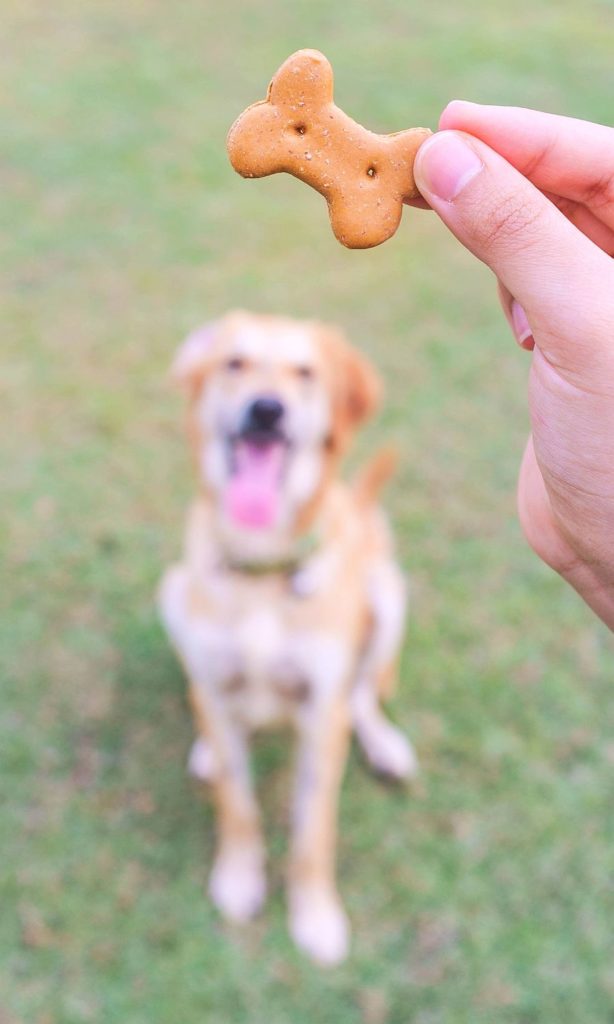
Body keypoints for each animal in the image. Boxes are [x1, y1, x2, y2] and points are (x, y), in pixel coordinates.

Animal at [159, 307, 417, 962]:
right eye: (234, 363)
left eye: (305, 373)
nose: (266, 410)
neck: (262, 568)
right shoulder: (220, 688)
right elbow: (238, 806)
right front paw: (238, 879)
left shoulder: (321, 715)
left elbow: (312, 832)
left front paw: (316, 916)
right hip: (170, 591)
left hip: (387, 594)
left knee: (363, 694)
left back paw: (384, 745)